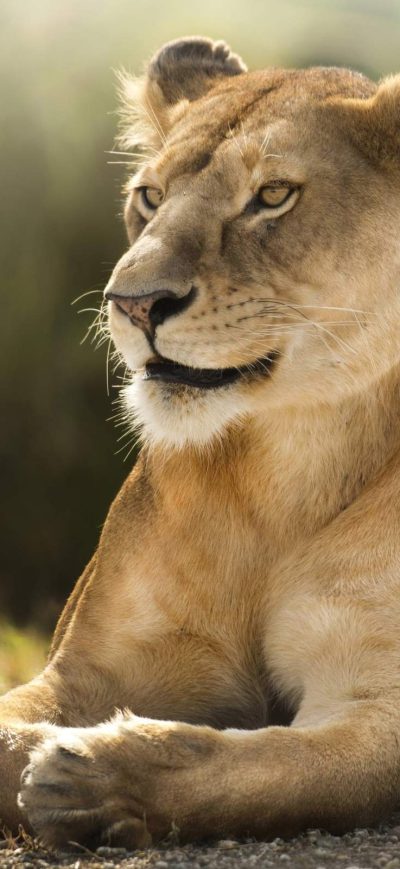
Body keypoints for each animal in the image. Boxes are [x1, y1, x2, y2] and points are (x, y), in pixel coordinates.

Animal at [2, 36, 400, 847]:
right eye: (150, 197)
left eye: (273, 195)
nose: (132, 302)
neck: (289, 463)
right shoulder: (85, 670)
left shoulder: (377, 701)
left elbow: (271, 768)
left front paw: (90, 776)